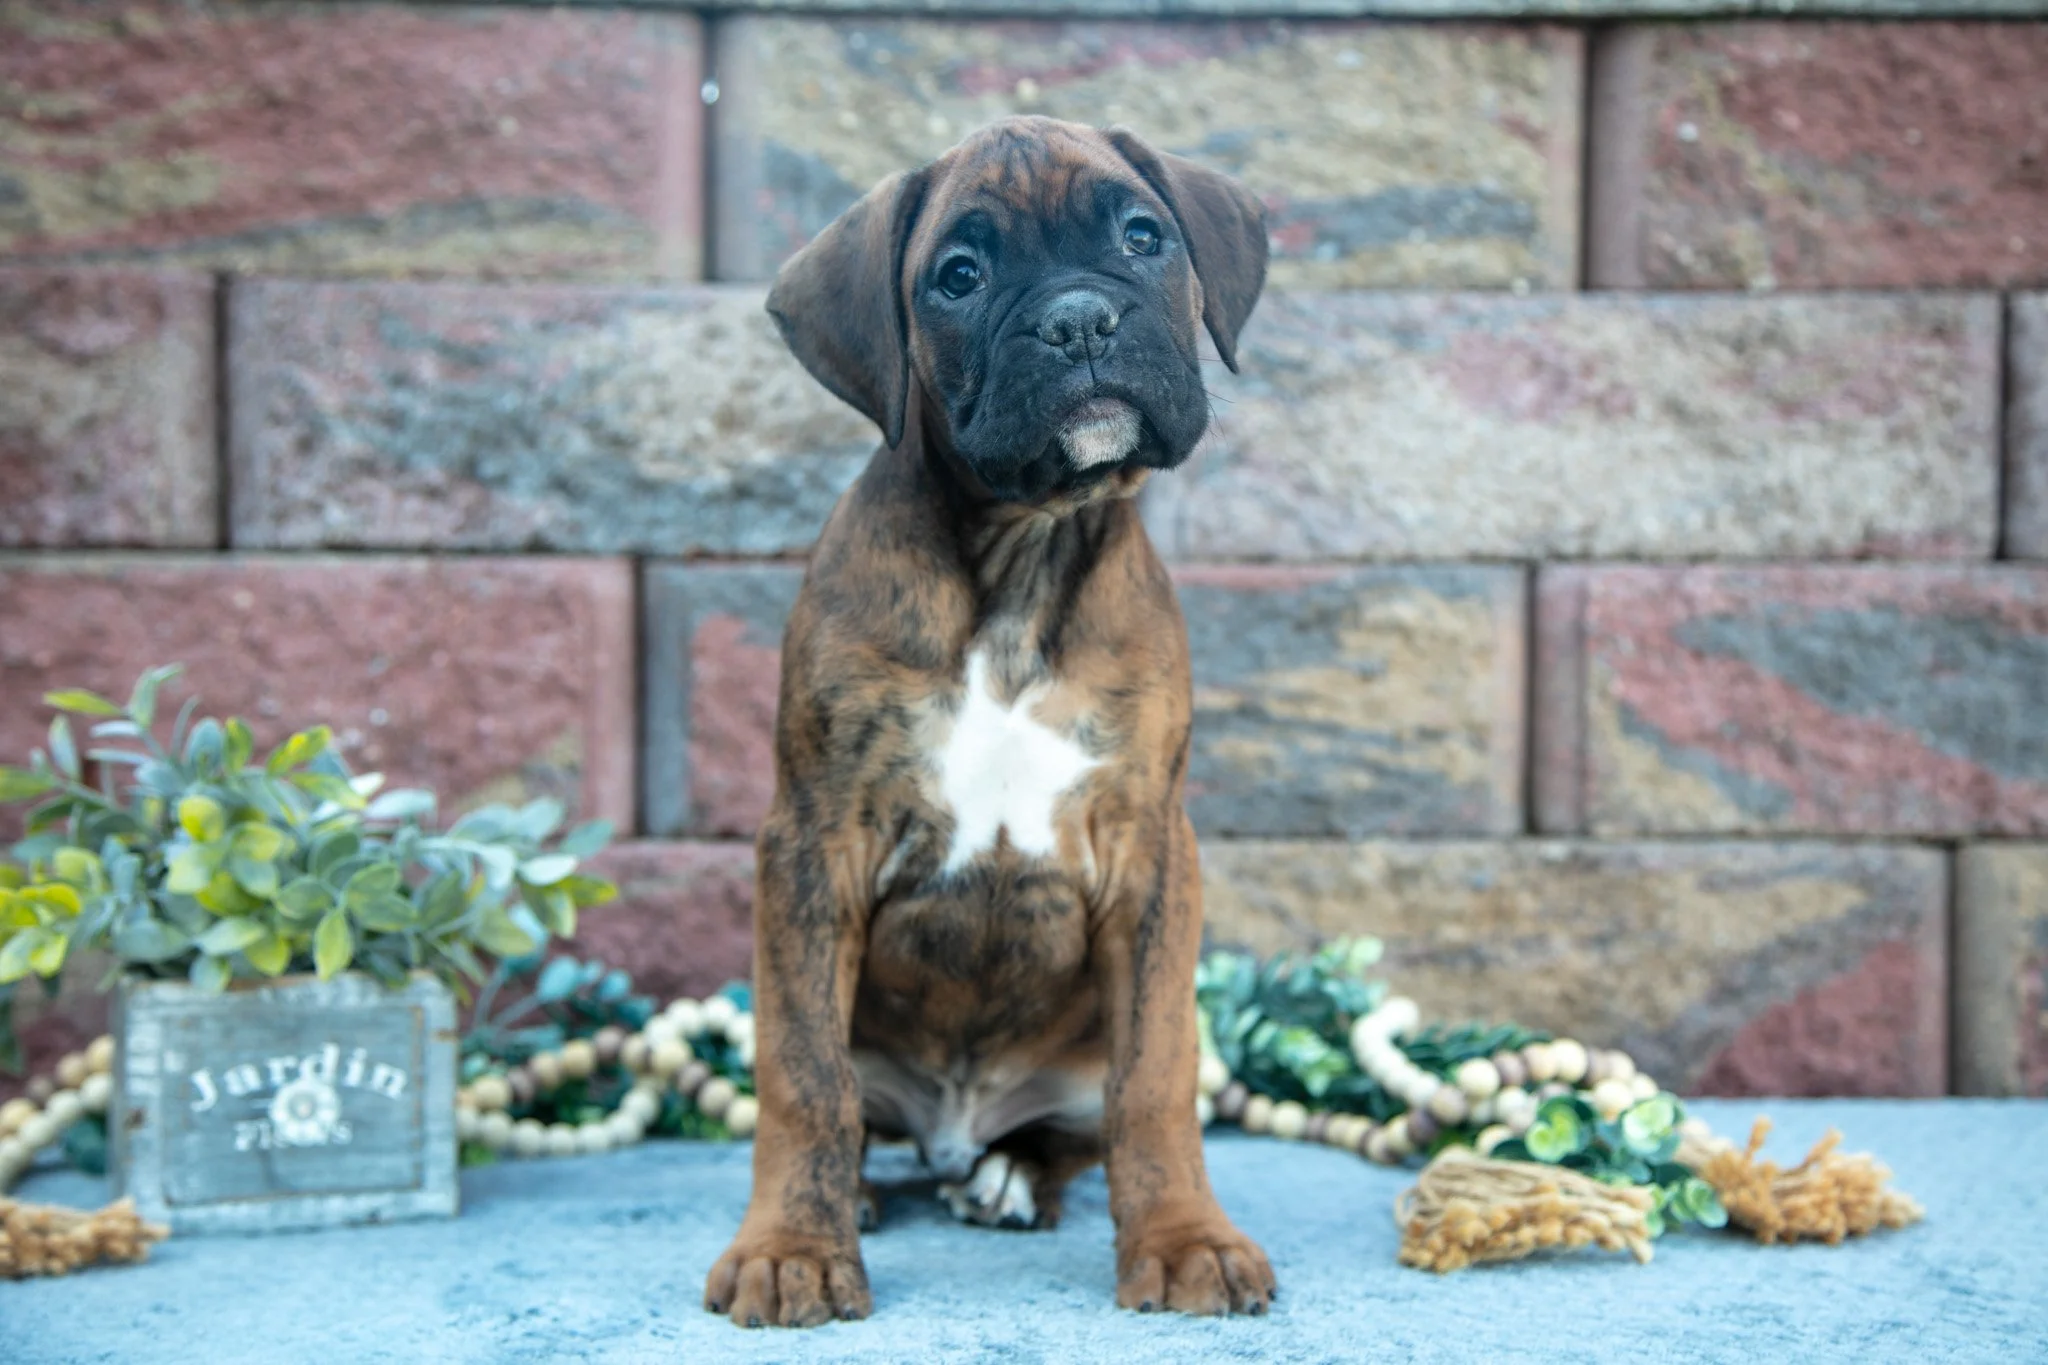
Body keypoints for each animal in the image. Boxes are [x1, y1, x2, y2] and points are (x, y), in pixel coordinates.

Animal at [703, 116, 1274, 1329]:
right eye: (957, 276)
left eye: (1141, 236)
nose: (1079, 318)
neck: (1020, 554)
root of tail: (954, 1133)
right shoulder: (813, 843)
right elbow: (802, 1078)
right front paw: (792, 1249)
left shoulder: (1152, 850)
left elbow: (1156, 1077)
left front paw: (1183, 1239)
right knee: (851, 1104)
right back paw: (864, 1194)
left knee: (1079, 1125)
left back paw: (1013, 1176)